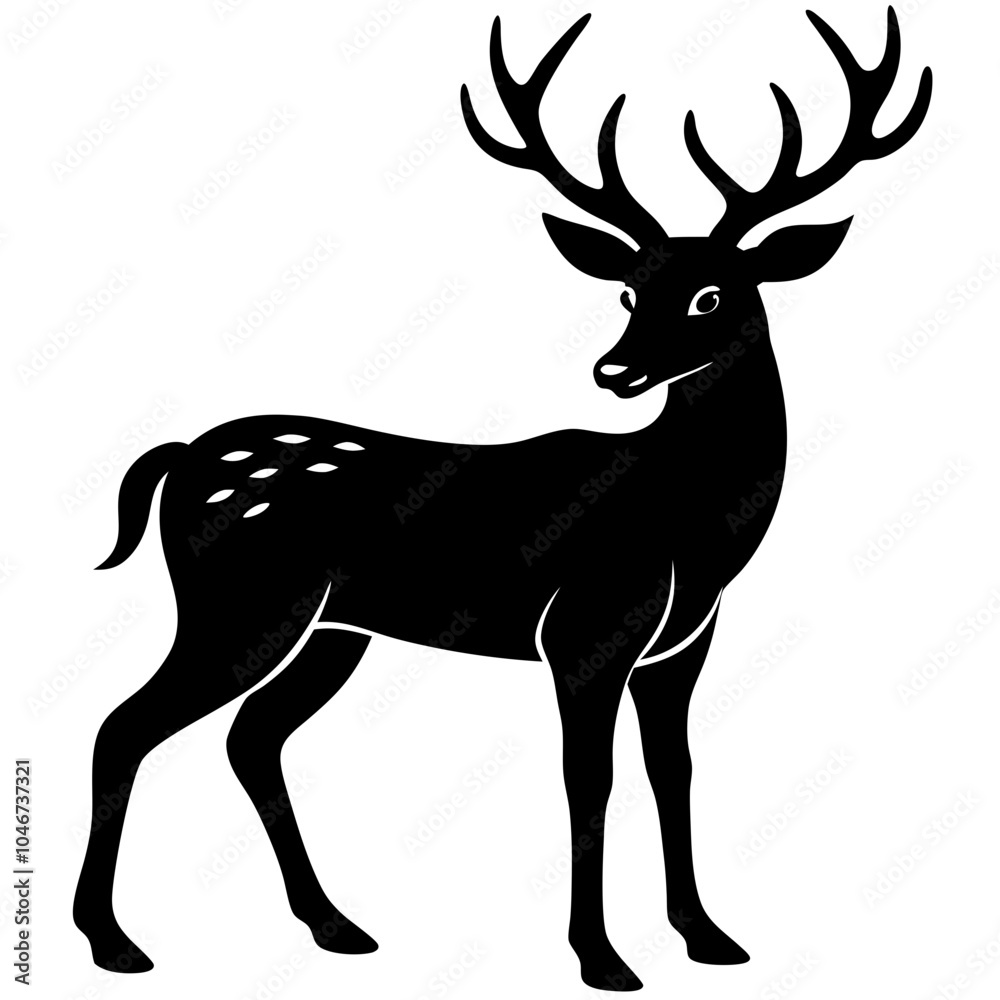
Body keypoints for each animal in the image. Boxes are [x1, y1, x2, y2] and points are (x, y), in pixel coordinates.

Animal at [73, 8, 931, 991]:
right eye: (629, 289)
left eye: (713, 294)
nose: (615, 371)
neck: (695, 525)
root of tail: (179, 460)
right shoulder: (587, 628)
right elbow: (588, 781)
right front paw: (602, 958)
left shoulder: (682, 644)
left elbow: (673, 770)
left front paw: (708, 937)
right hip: (239, 603)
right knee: (124, 725)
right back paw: (113, 941)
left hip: (329, 629)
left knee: (250, 738)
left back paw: (336, 926)